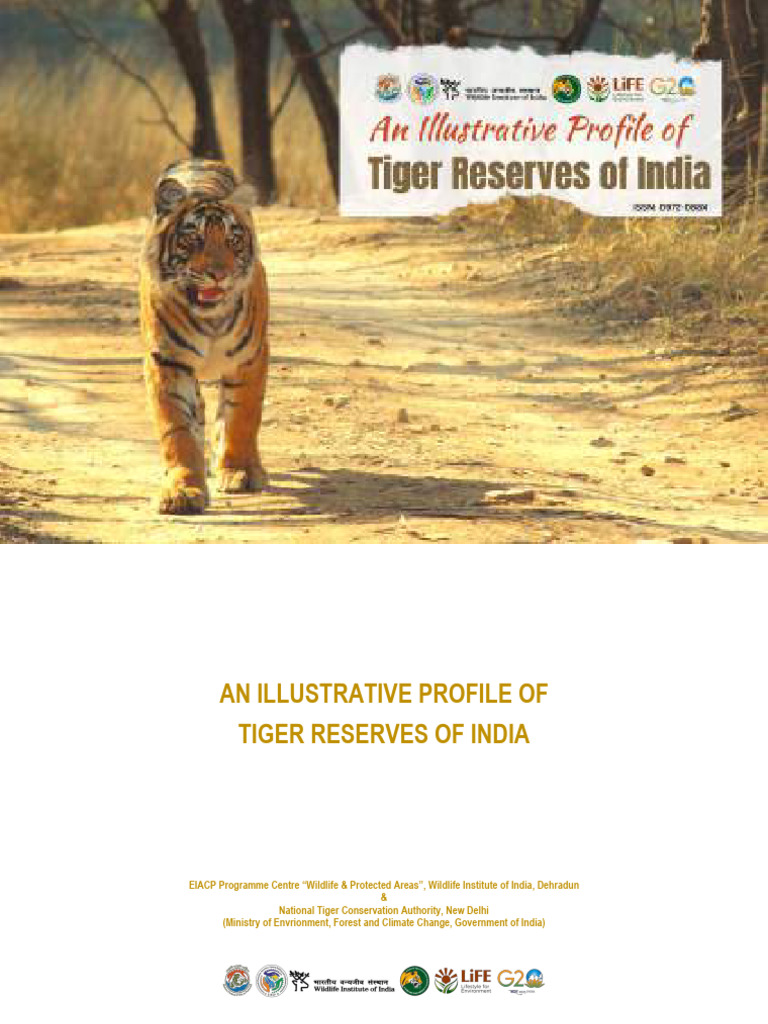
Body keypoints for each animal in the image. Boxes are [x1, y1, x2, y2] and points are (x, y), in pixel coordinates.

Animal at [139, 158, 269, 515]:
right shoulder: (166, 361)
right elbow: (177, 430)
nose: (218, 274)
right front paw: (182, 489)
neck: (209, 320)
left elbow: (242, 418)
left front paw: (240, 472)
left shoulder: (249, 359)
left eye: (232, 241)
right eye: (193, 240)